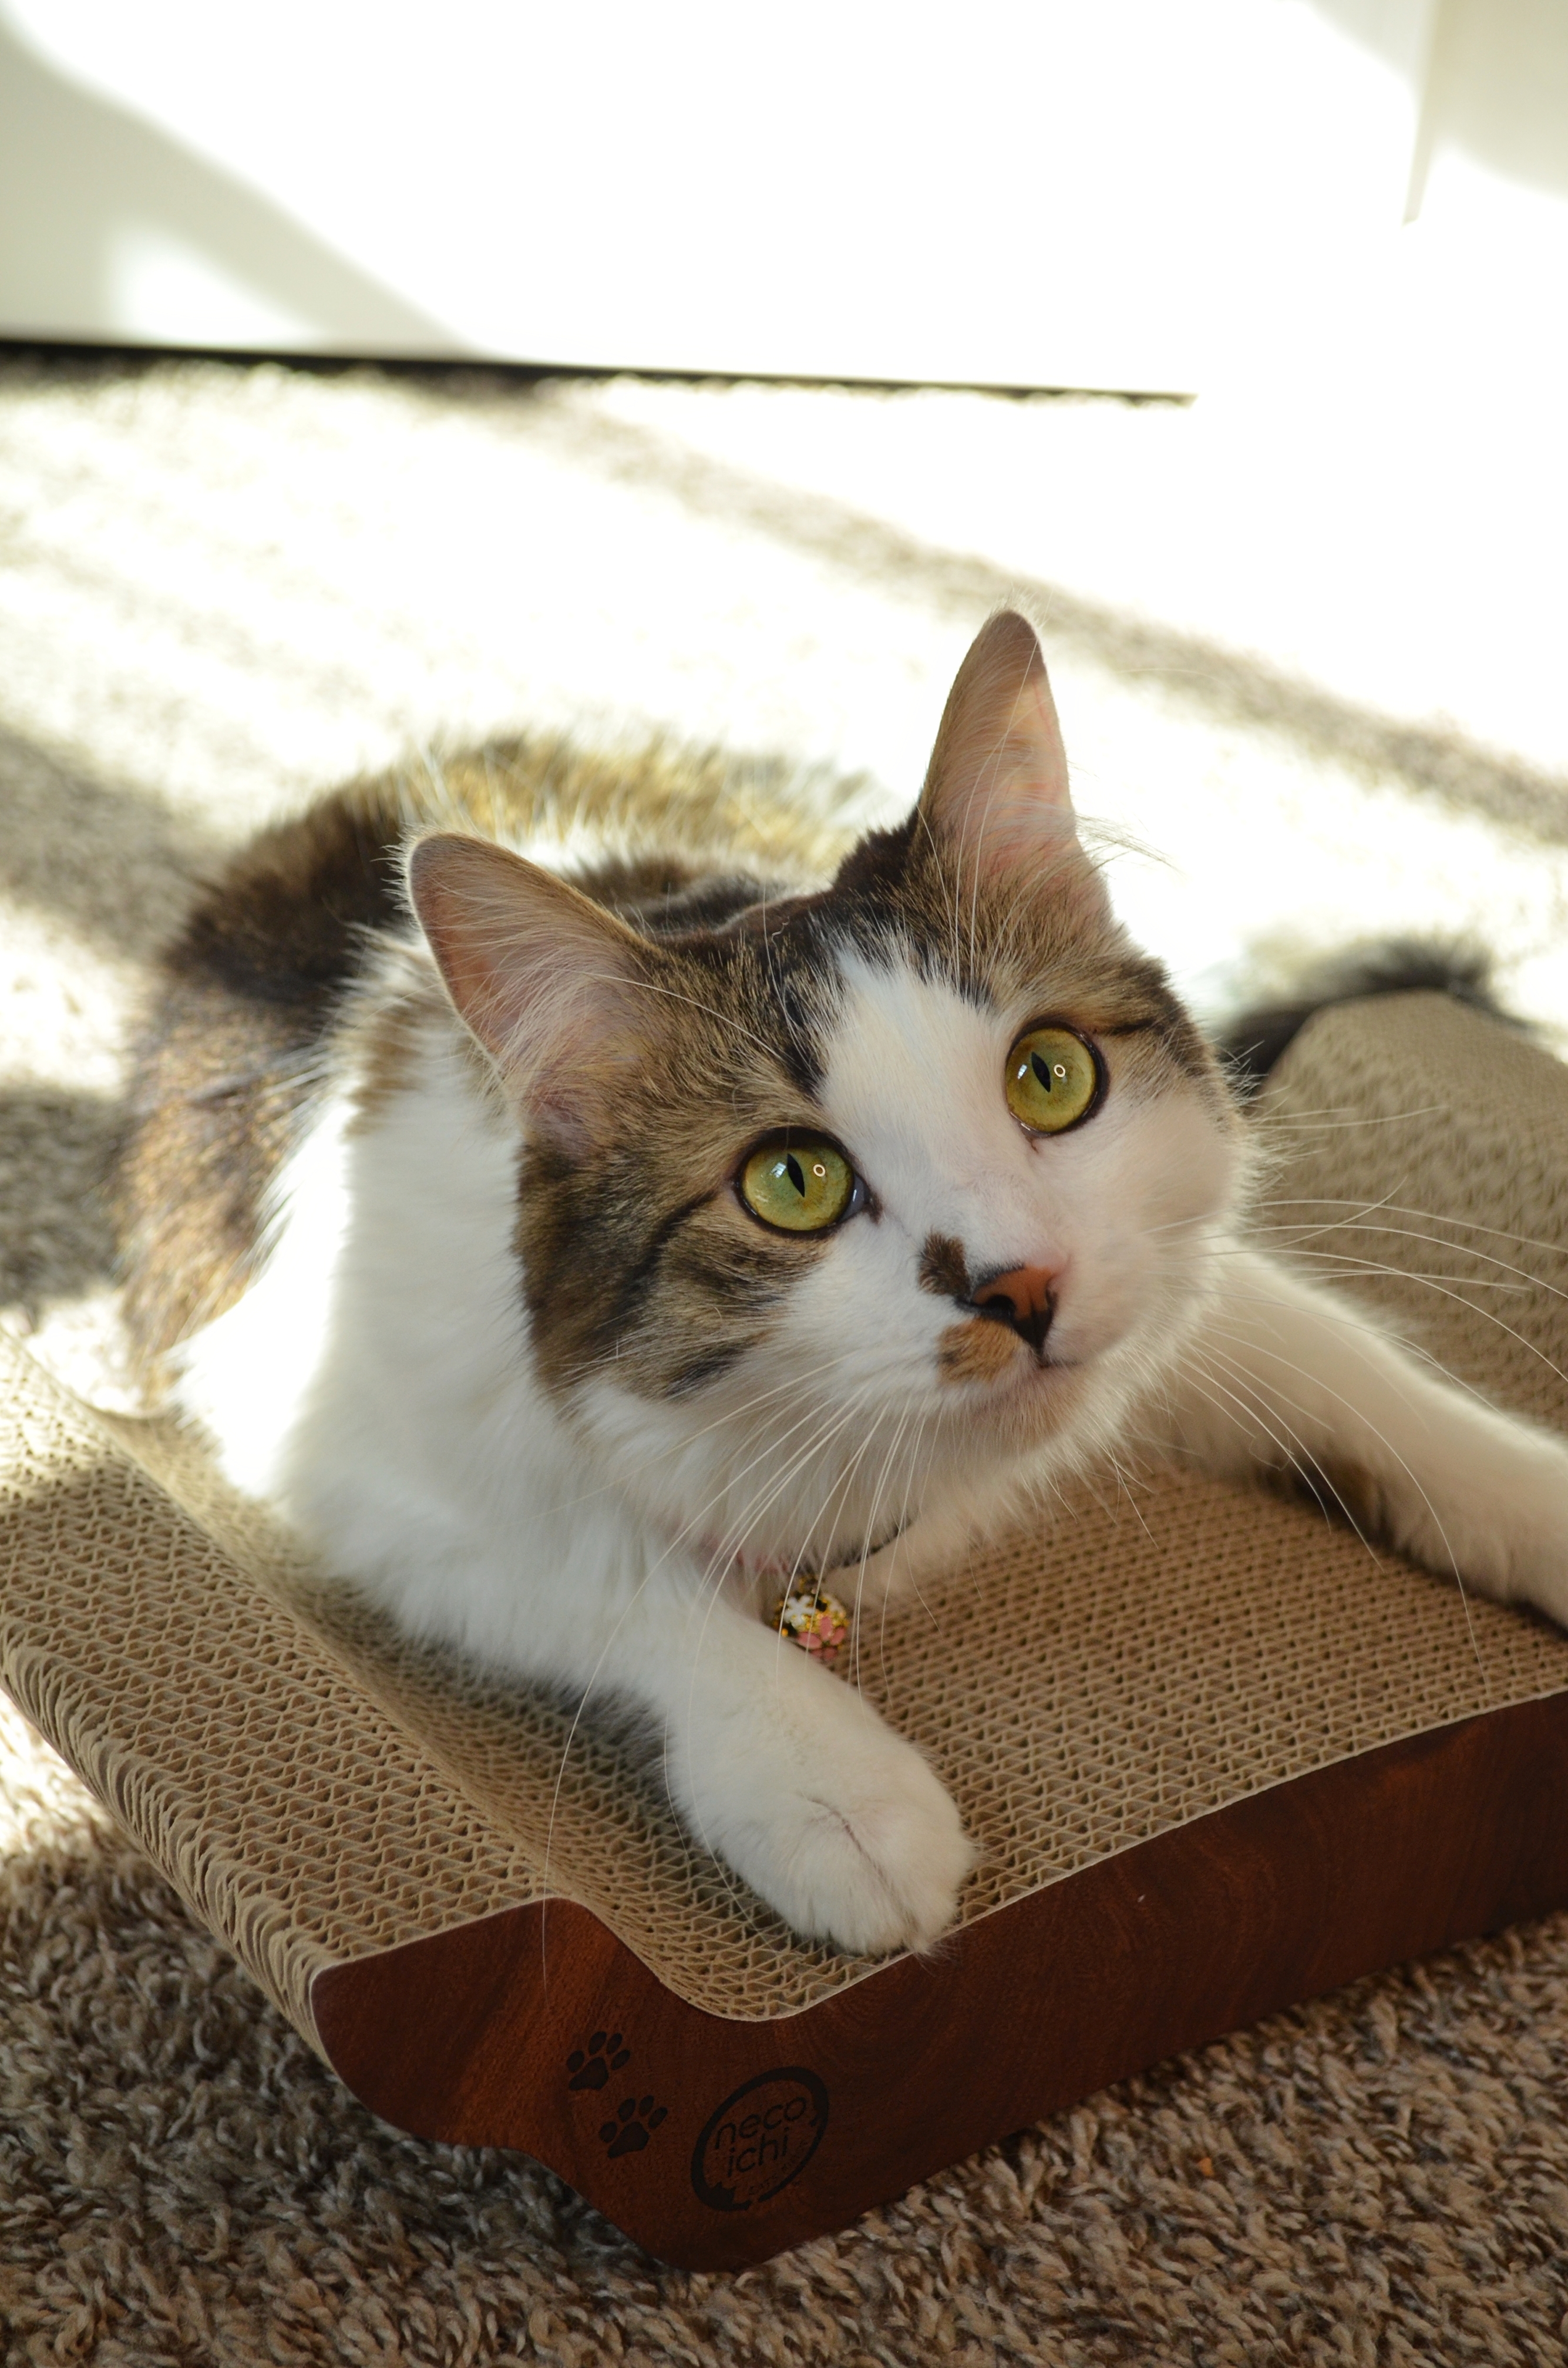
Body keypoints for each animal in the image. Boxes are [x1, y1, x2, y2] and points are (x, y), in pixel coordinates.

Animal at [116, 620, 1568, 1951]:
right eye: (793, 1182)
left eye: (1052, 1075)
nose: (1022, 1286)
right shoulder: (347, 1454)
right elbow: (621, 1579)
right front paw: (832, 1789)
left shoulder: (1165, 1276)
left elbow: (1363, 1373)